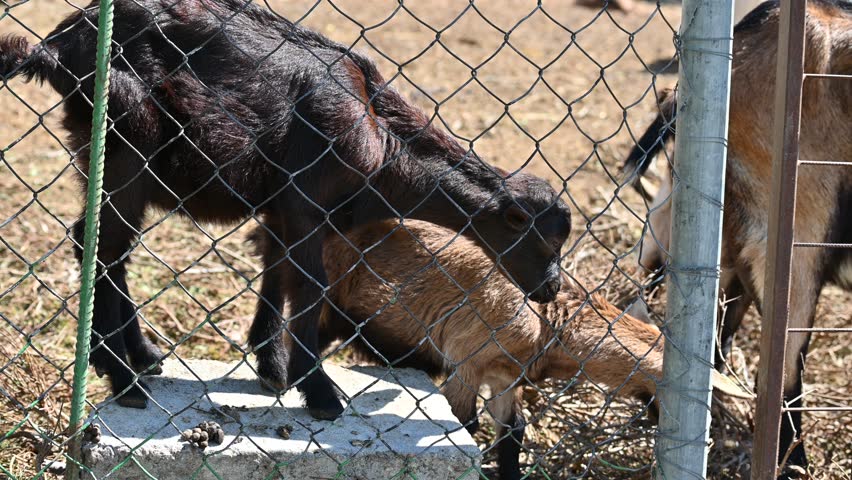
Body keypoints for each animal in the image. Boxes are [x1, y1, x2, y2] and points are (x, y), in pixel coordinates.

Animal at [0, 0, 571, 418]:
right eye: (537, 235)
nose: (551, 289)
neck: (382, 137)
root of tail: (60, 44)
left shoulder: (284, 208)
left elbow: (275, 271)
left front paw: (271, 366)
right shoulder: (305, 200)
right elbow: (310, 283)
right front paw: (317, 390)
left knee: (104, 245)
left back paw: (139, 358)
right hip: (127, 146)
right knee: (104, 245)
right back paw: (121, 376)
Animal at [254, 219, 749, 479]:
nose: (702, 437)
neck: (550, 321)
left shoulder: (505, 377)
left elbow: (513, 430)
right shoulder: (465, 360)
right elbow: (466, 424)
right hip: (328, 296)